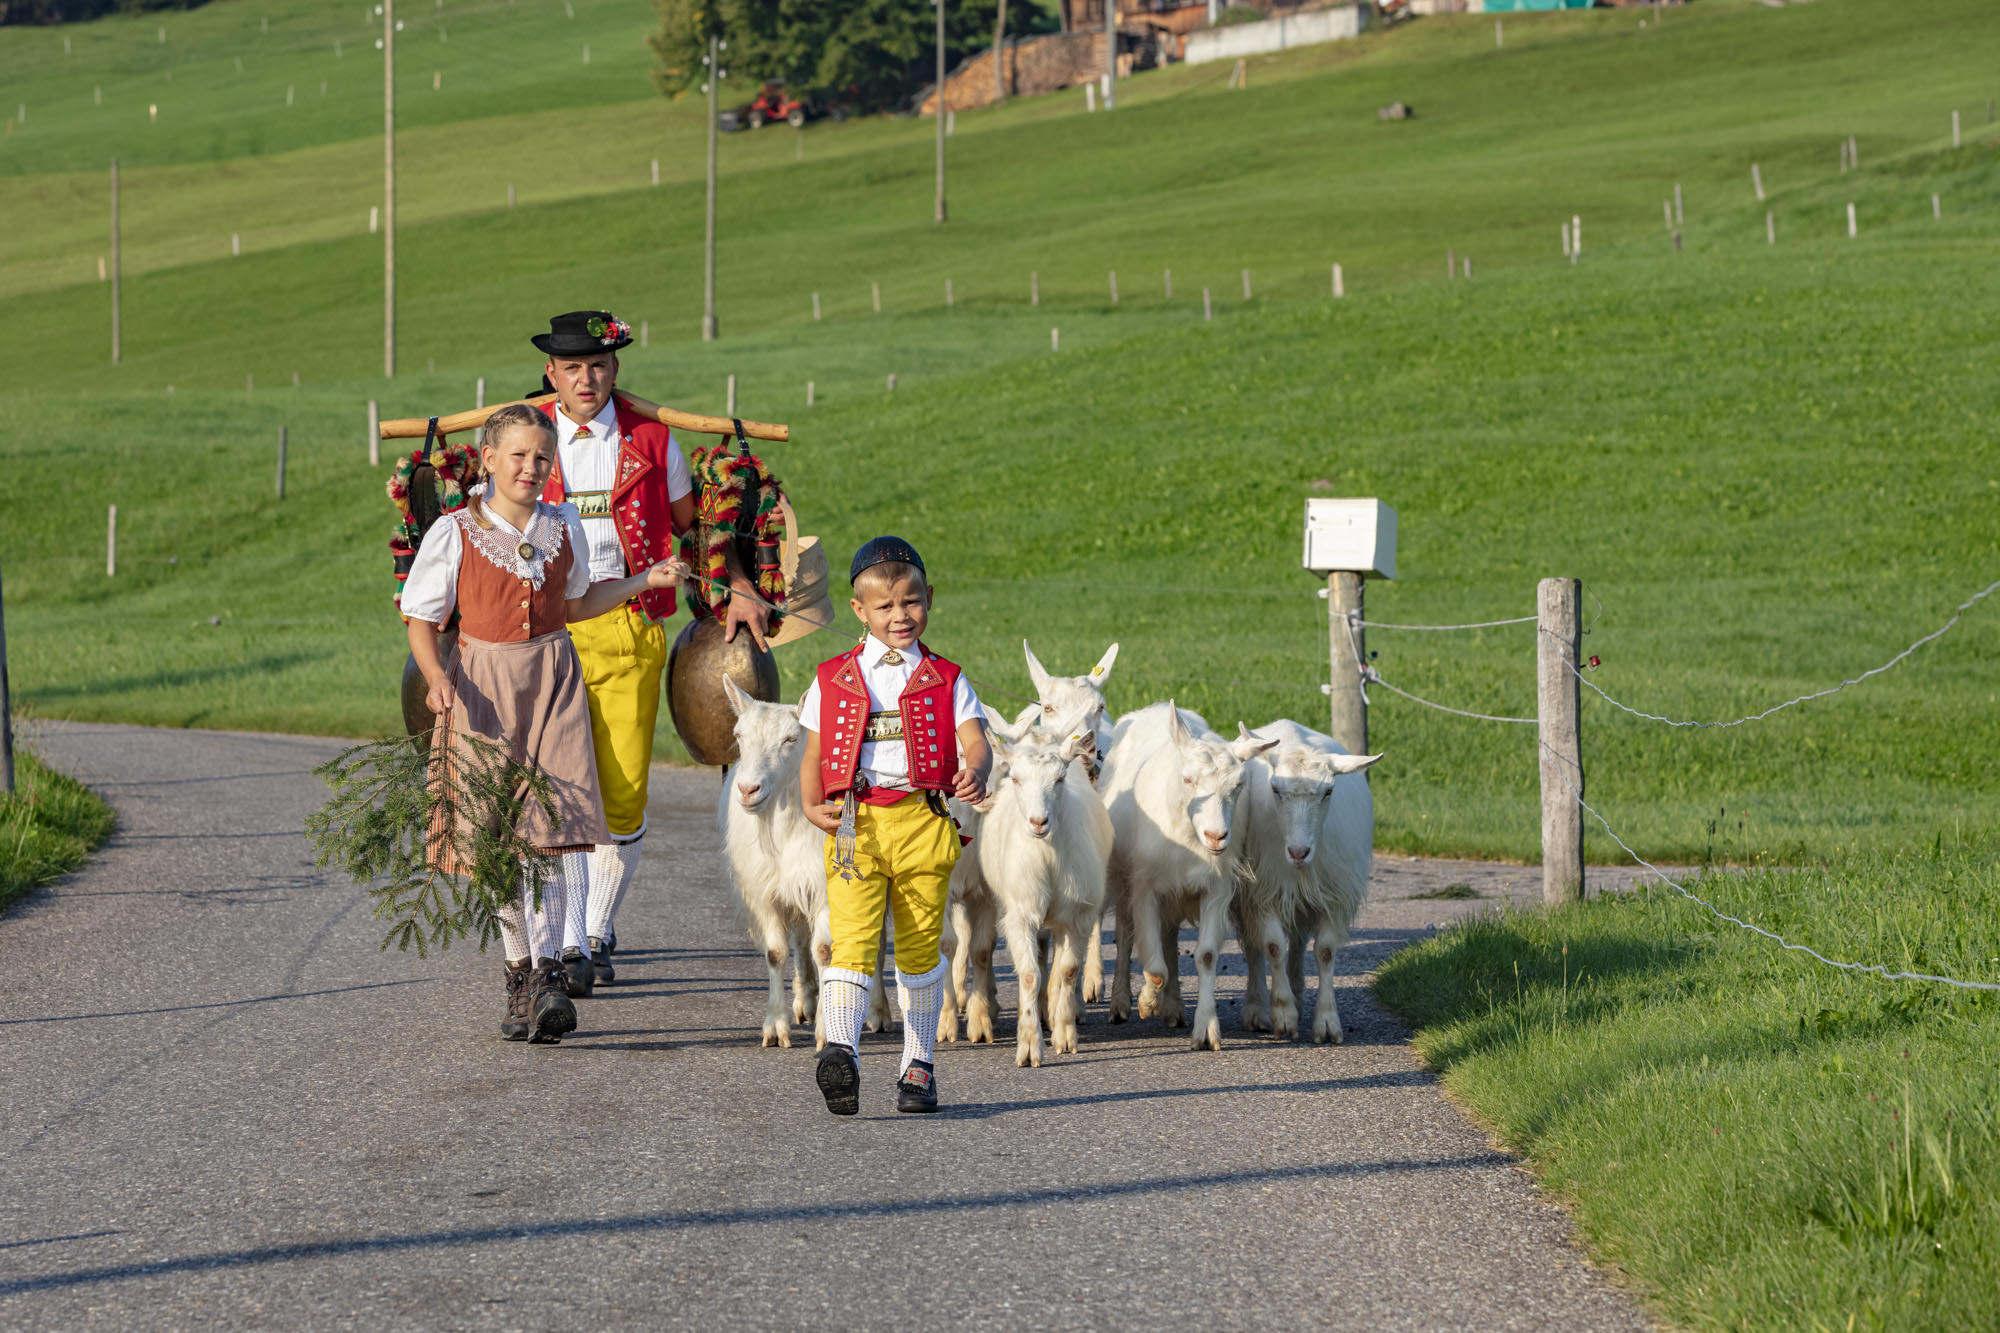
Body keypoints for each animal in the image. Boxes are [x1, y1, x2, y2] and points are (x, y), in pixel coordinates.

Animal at [717, 676, 831, 1048]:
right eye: (738, 735)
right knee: (801, 941)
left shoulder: (826, 889)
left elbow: (824, 951)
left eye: (791, 739)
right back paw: (805, 1000)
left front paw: (827, 1030)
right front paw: (775, 1026)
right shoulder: (765, 892)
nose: (748, 790)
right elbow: (776, 952)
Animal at [953, 731, 1110, 1066]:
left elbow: (1067, 971)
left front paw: (1064, 1034)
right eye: (1015, 778)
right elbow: (1028, 975)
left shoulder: (1076, 916)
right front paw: (1028, 1046)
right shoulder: (1020, 913)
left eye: (1060, 778)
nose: (1039, 822)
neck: (1047, 856)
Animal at [1099, 701, 1277, 1052]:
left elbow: (1205, 955)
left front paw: (1206, 1030)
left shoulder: (1216, 890)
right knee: (1125, 934)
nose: (1216, 836)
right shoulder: (1145, 889)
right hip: (1123, 877)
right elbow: (1154, 967)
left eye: (1238, 785)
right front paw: (1147, 1002)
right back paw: (1121, 1003)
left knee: (1168, 936)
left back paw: (1173, 1007)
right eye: (1188, 780)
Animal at [1232, 719, 1380, 1044]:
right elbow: (1273, 946)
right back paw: (1258, 1008)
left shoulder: (1334, 898)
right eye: (1275, 789)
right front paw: (1284, 1015)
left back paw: (1297, 994)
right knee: (1253, 946)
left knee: (1298, 942)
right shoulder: (1263, 892)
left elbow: (1324, 951)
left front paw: (1326, 1022)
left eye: (1328, 791)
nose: (1299, 852)